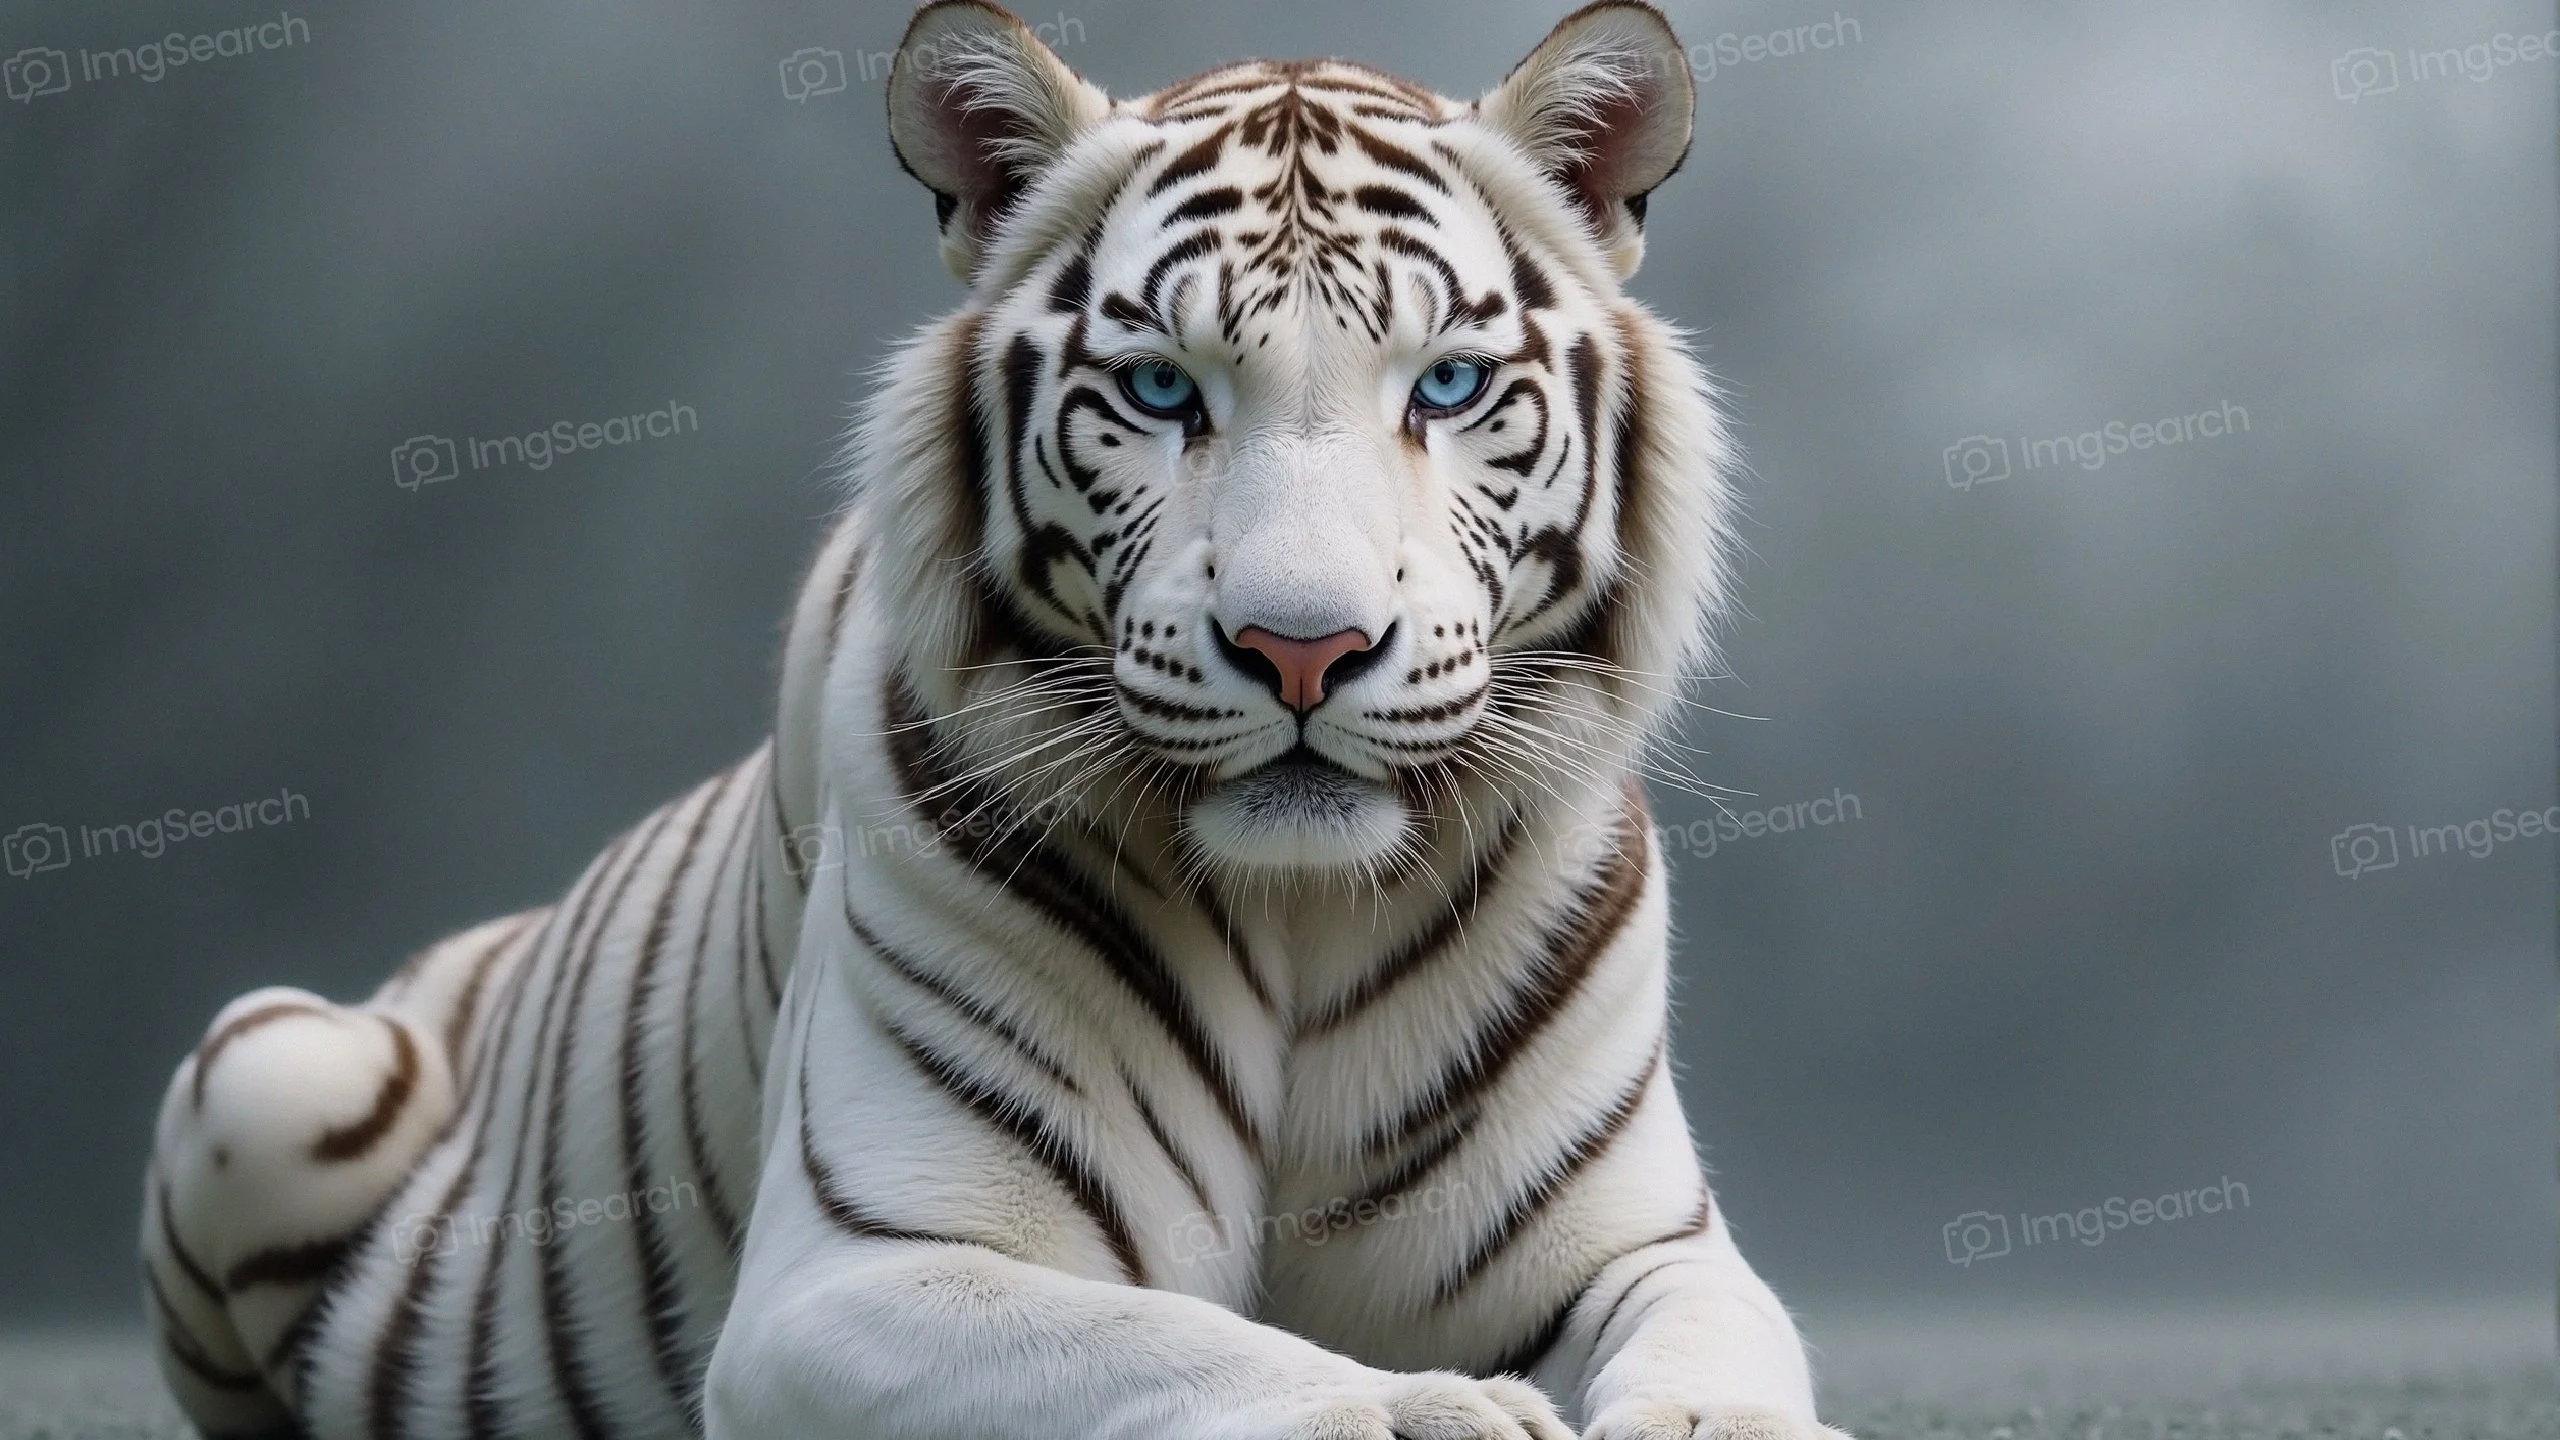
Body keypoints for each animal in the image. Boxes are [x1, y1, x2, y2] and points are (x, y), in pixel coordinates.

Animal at [138, 3, 1855, 1438]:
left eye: (1445, 387)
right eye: (1162, 393)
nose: (1303, 650)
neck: (1300, 913)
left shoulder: (1645, 1247)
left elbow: (1725, 1359)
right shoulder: (861, 1271)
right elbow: (1195, 1348)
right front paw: (1438, 1412)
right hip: (267, 1065)